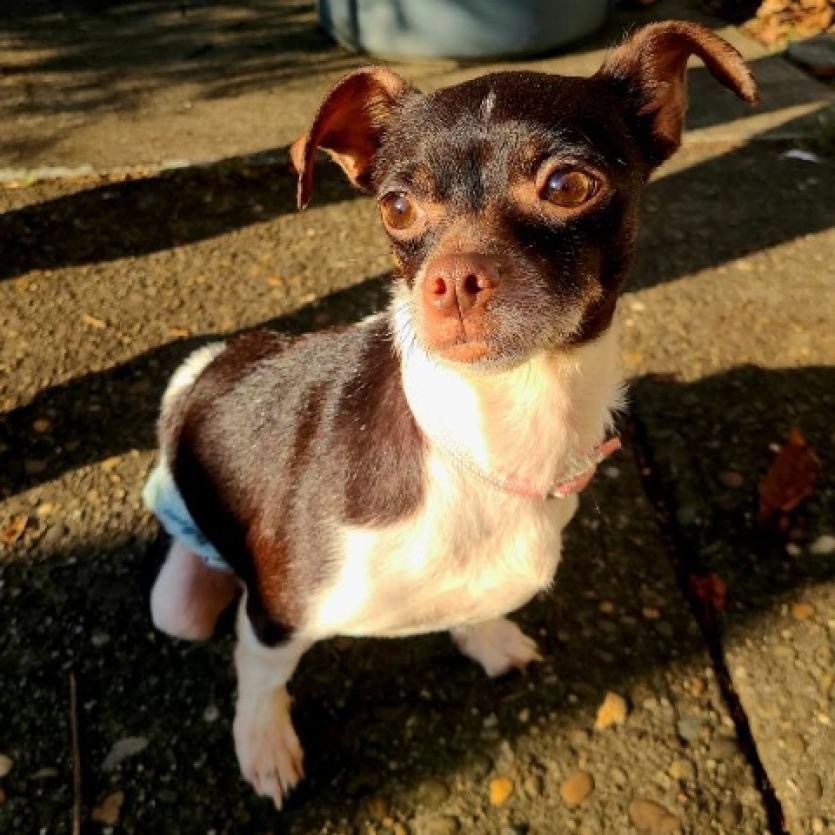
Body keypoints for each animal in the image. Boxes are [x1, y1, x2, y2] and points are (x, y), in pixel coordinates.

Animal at [144, 22, 756, 808]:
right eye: (396, 206)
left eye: (568, 185)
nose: (453, 279)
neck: (494, 431)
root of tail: (215, 360)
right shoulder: (277, 619)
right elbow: (260, 680)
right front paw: (264, 745)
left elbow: (475, 609)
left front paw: (486, 636)